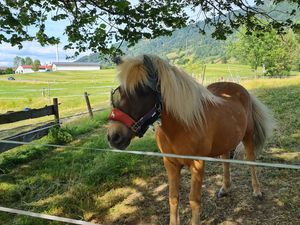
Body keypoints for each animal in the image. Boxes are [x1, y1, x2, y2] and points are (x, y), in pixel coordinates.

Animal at [106, 55, 276, 225]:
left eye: (142, 90)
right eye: (119, 92)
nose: (113, 136)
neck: (181, 127)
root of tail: (241, 89)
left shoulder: (197, 164)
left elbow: (194, 200)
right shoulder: (170, 164)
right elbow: (173, 198)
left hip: (248, 136)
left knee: (251, 160)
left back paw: (257, 191)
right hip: (227, 139)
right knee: (226, 159)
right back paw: (225, 188)